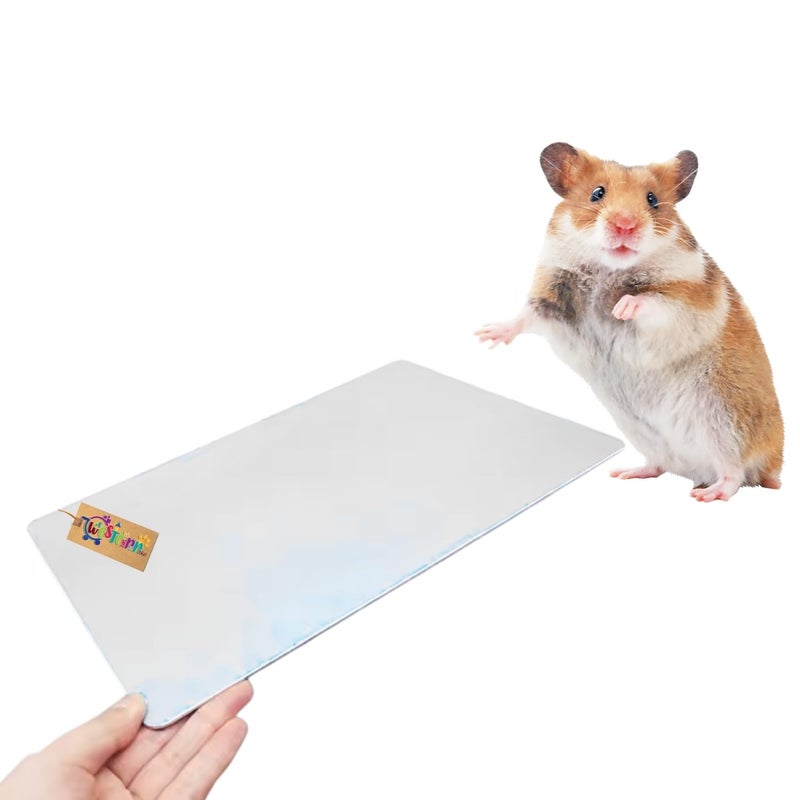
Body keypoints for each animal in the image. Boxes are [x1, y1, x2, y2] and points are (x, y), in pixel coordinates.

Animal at [476, 142, 783, 502]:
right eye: (597, 193)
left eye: (652, 199)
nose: (625, 225)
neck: (609, 268)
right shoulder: (551, 299)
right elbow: (525, 316)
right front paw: (486, 335)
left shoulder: (686, 301)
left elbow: (652, 302)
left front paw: (621, 308)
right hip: (645, 434)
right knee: (660, 465)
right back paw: (626, 473)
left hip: (725, 421)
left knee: (735, 473)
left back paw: (708, 494)